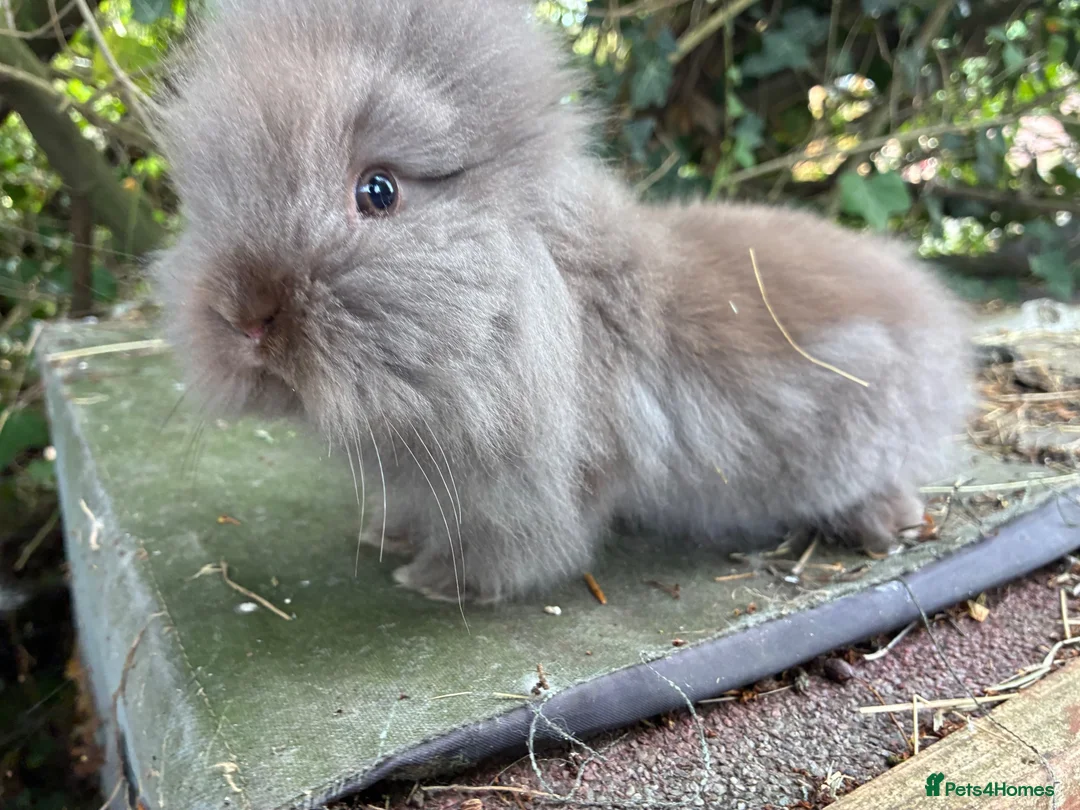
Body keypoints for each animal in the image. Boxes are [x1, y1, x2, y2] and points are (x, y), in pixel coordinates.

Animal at [151, 0, 974, 605]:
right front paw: (389, 539)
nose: (244, 317)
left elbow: (517, 547)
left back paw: (885, 523)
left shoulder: (530, 489)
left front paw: (437, 583)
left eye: (378, 191)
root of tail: (940, 327)